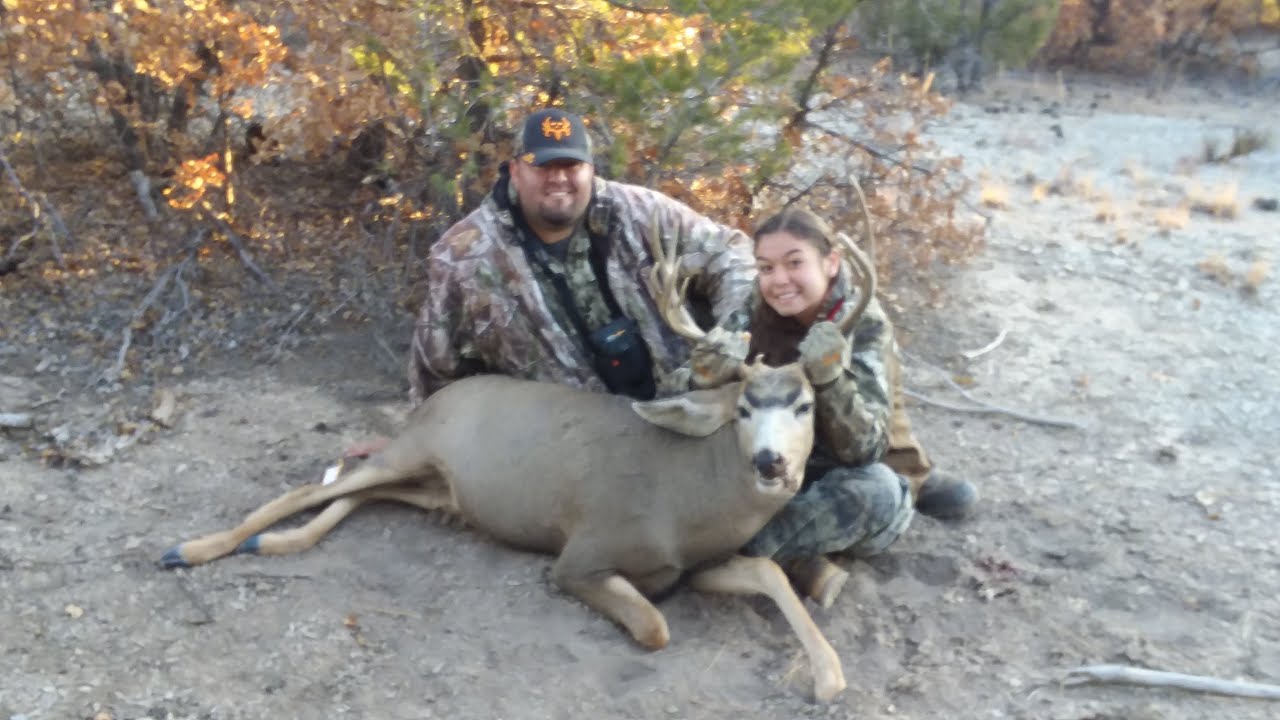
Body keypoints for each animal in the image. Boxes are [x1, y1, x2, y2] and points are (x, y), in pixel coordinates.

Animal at [159, 222, 876, 703]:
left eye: (807, 405)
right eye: (744, 409)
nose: (771, 464)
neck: (689, 503)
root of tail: (437, 400)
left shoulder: (698, 564)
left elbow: (769, 571)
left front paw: (830, 676)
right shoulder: (582, 554)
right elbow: (653, 626)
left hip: (435, 488)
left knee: (352, 494)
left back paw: (266, 545)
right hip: (413, 449)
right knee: (308, 489)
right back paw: (191, 549)